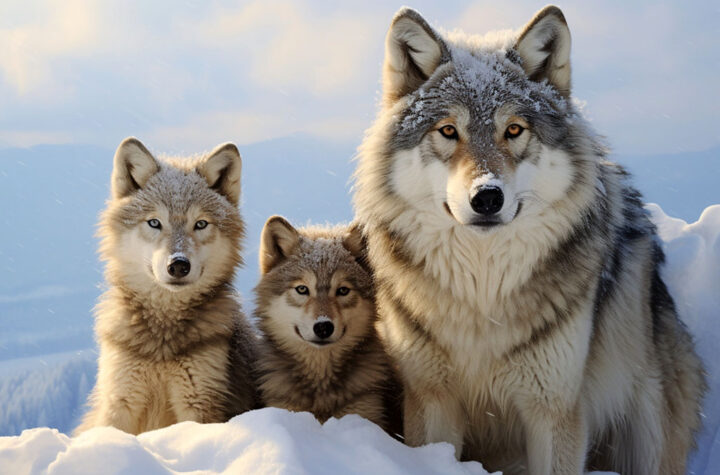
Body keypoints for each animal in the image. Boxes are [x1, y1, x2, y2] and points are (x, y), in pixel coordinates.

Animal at [76, 137, 258, 435]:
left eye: (201, 224)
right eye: (154, 222)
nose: (179, 265)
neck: (161, 338)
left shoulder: (198, 403)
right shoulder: (120, 401)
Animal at [352, 6, 706, 474]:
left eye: (514, 130)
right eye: (448, 131)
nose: (487, 197)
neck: (483, 299)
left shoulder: (554, 412)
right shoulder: (431, 400)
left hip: (647, 433)